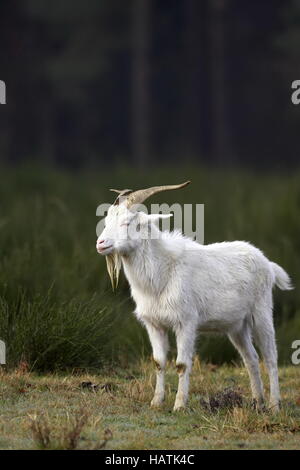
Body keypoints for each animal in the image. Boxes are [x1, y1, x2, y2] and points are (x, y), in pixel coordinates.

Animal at [96, 183, 292, 412]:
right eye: (107, 221)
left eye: (127, 223)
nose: (101, 243)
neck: (163, 271)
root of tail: (268, 264)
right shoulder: (154, 324)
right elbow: (158, 362)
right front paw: (156, 401)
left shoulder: (186, 322)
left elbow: (182, 364)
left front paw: (179, 405)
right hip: (237, 326)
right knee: (250, 358)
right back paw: (257, 401)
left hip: (261, 313)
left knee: (270, 357)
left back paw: (274, 405)